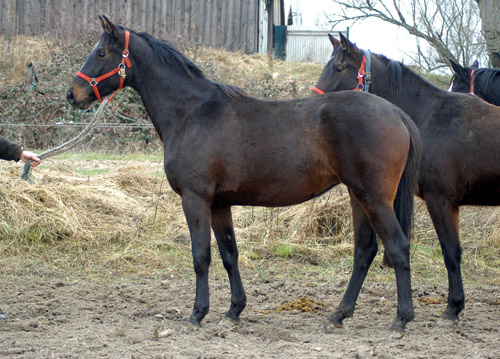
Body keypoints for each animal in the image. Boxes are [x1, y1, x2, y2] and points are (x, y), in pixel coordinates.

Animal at [67, 15, 422, 334]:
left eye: (101, 52)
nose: (73, 94)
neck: (192, 113)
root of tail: (395, 112)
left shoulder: (195, 200)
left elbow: (201, 256)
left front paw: (198, 313)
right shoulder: (219, 204)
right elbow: (229, 254)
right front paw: (234, 310)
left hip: (374, 198)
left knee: (397, 247)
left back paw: (401, 319)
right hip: (357, 196)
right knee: (365, 251)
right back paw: (339, 315)